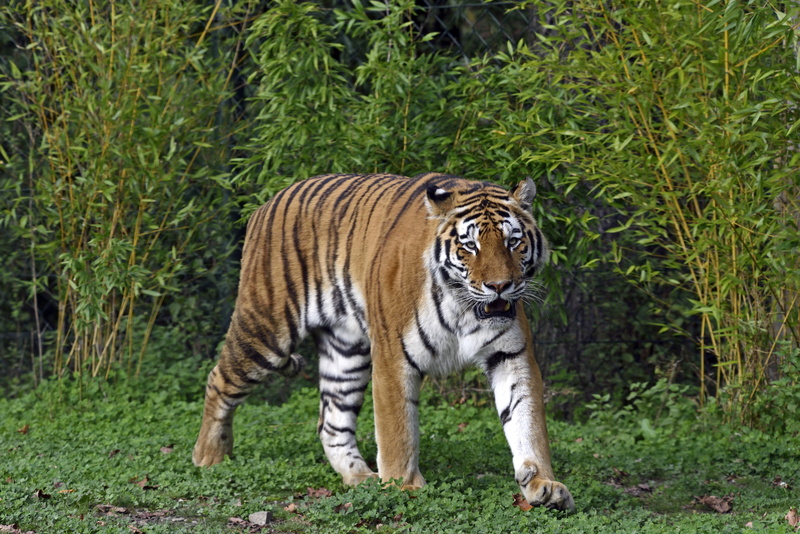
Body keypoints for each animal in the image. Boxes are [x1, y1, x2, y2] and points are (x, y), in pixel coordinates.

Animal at [192, 172, 574, 511]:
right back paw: (209, 456)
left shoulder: (512, 355)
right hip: (266, 329)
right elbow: (397, 430)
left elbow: (527, 421)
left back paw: (359, 477)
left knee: (331, 421)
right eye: (470, 245)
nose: (499, 286)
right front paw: (404, 486)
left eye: (513, 241)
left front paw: (543, 485)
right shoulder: (393, 356)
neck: (464, 307)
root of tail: (267, 203)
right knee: (219, 379)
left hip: (347, 351)